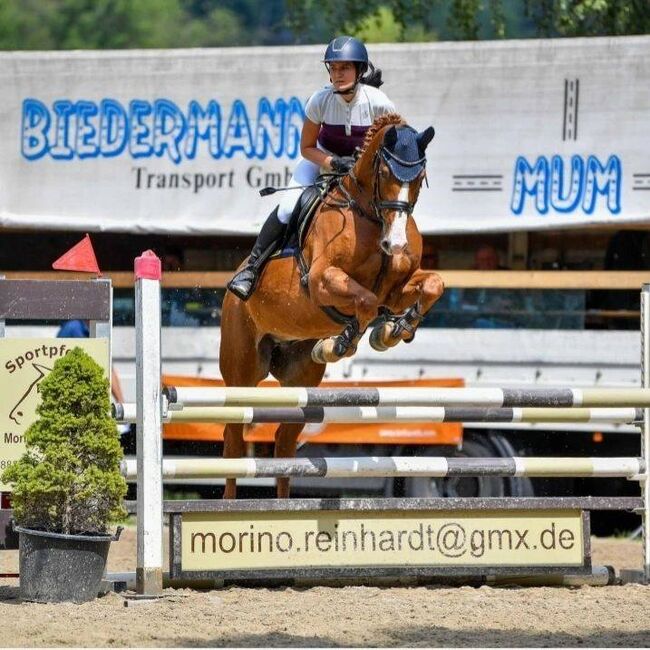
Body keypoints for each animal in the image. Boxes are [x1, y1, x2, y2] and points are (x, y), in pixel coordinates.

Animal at [220, 114, 442, 496]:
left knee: (284, 443)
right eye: (386, 173)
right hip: (241, 372)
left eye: (420, 176)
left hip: (299, 379)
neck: (371, 215)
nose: (396, 243)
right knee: (233, 441)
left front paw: (393, 330)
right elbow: (365, 301)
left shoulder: (397, 290)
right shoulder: (322, 282)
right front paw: (344, 342)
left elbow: (431, 284)